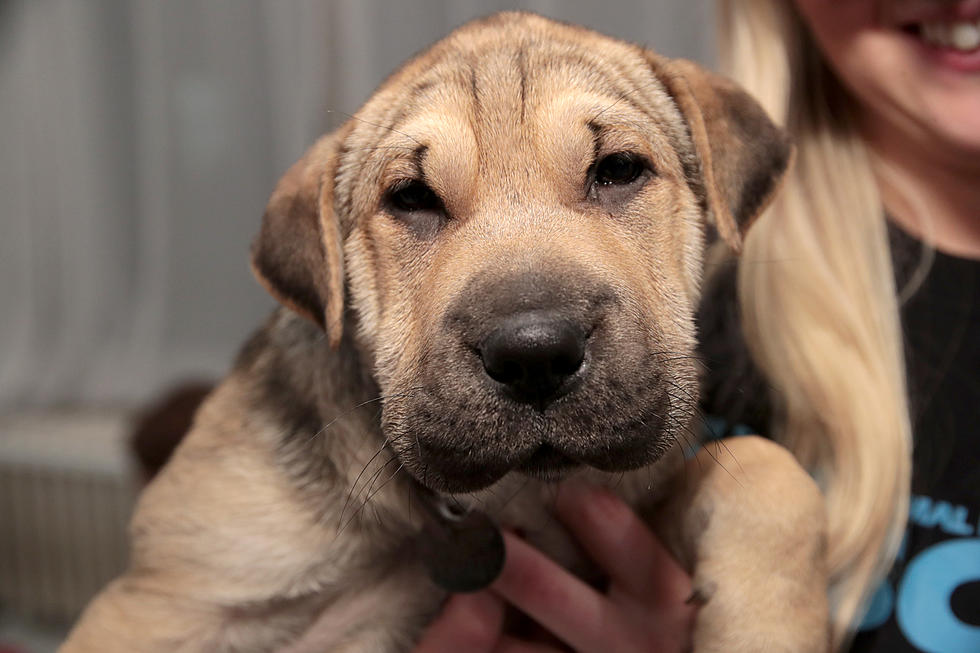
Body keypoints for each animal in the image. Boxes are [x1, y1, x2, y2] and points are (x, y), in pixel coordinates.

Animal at [61, 11, 828, 652]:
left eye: (618, 170)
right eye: (412, 198)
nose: (534, 355)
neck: (516, 496)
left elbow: (765, 468)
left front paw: (765, 624)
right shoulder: (162, 601)